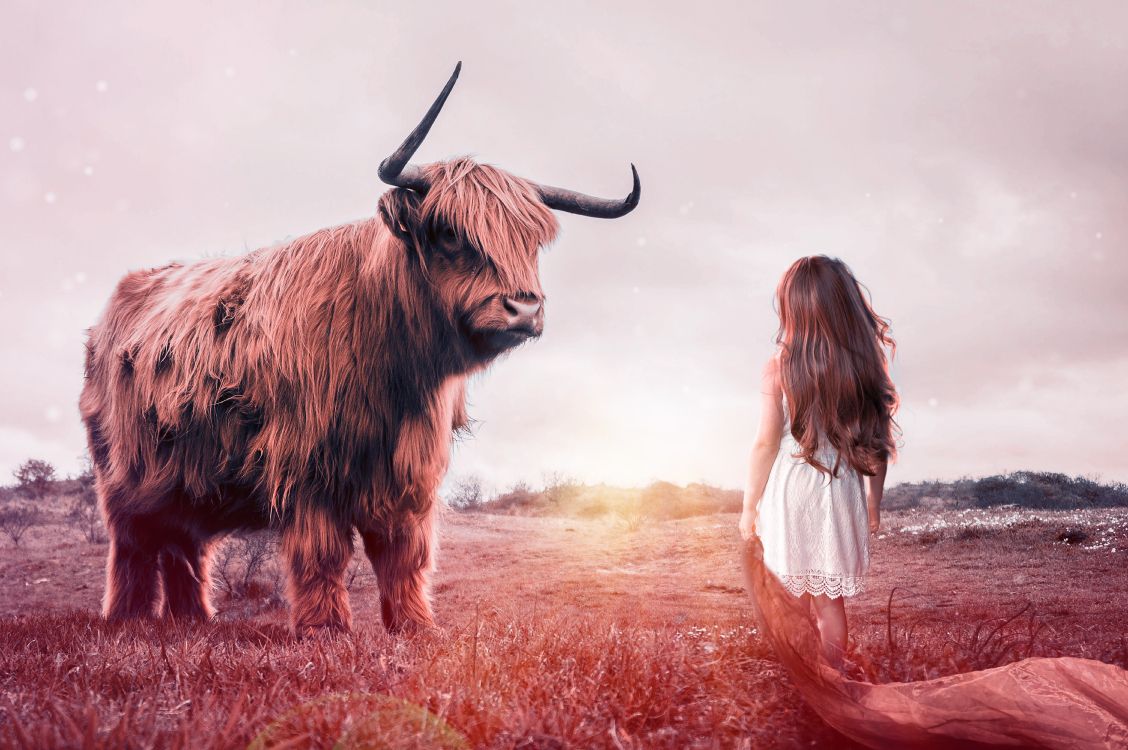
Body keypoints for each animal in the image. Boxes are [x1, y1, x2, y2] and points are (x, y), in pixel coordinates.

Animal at [80, 64, 640, 636]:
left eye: (531, 241)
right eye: (449, 233)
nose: (524, 309)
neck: (396, 372)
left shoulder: (410, 471)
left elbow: (404, 553)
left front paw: (414, 625)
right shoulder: (307, 465)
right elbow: (323, 553)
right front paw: (325, 628)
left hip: (183, 478)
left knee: (183, 544)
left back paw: (191, 620)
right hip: (124, 473)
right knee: (133, 543)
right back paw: (128, 619)